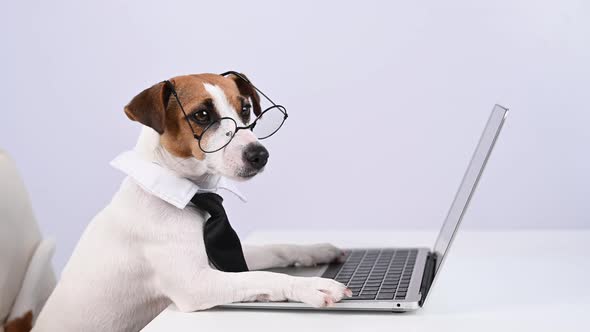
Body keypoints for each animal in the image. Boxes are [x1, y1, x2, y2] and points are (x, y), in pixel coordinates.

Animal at [33, 71, 352, 330]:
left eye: (245, 109)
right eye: (202, 115)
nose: (260, 155)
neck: (192, 195)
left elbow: (274, 249)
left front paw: (314, 250)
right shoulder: (197, 283)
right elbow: (263, 277)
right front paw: (313, 286)